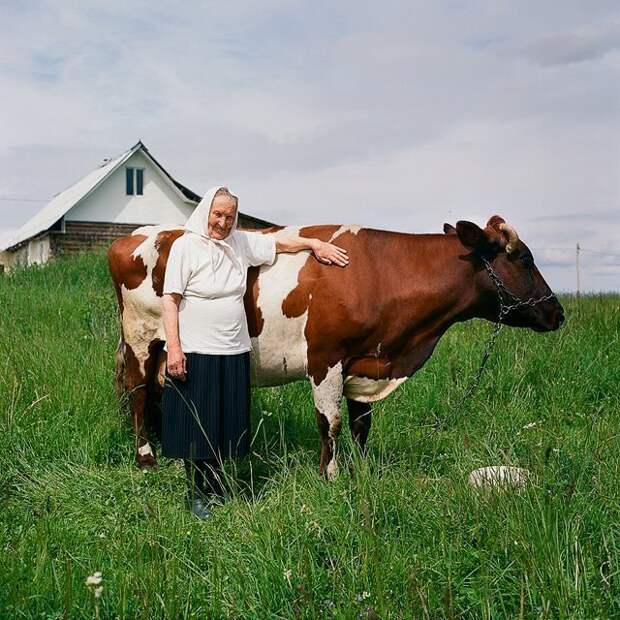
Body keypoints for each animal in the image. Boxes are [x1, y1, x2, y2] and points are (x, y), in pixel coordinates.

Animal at [109, 216, 564, 478]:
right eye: (523, 258)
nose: (558, 313)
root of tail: (138, 232)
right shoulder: (326, 359)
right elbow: (330, 423)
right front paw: (329, 475)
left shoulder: (366, 361)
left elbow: (362, 424)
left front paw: (359, 471)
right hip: (141, 339)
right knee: (138, 394)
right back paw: (146, 457)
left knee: (160, 394)